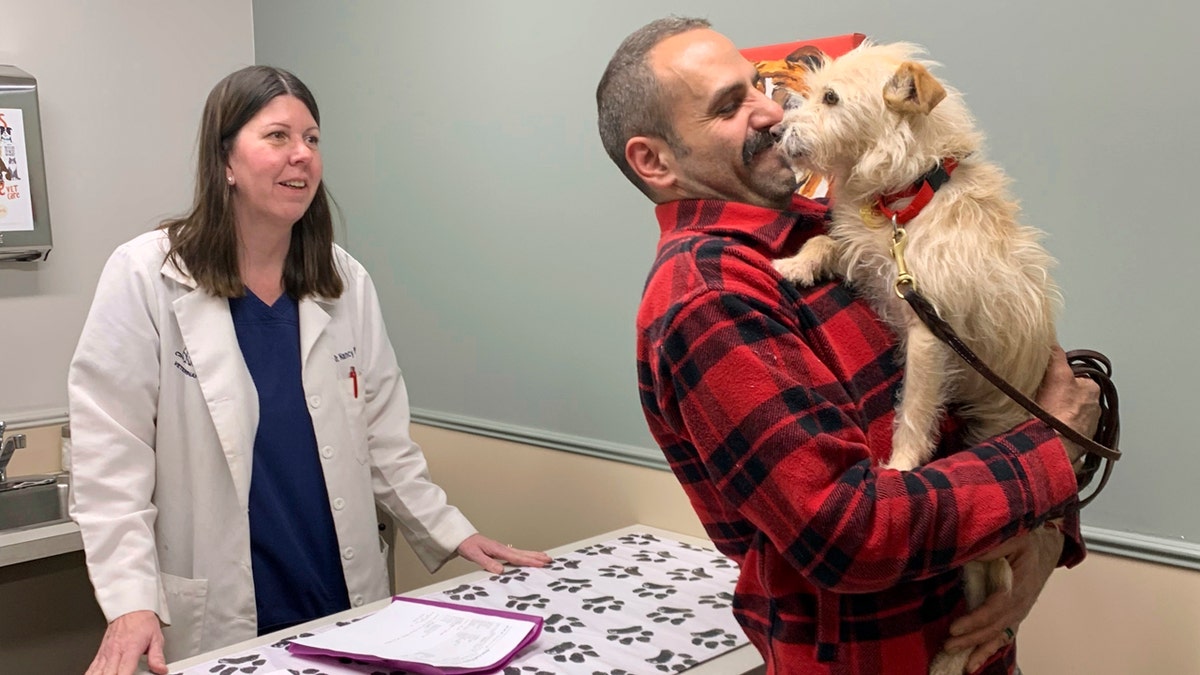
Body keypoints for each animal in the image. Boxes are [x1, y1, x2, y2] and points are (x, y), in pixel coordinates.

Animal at [768, 42, 1060, 672]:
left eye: (831, 98)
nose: (776, 131)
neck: (904, 201)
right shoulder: (876, 263)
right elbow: (828, 239)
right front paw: (797, 264)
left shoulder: (930, 333)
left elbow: (914, 411)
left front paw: (900, 469)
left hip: (991, 539)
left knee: (994, 597)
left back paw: (955, 657)